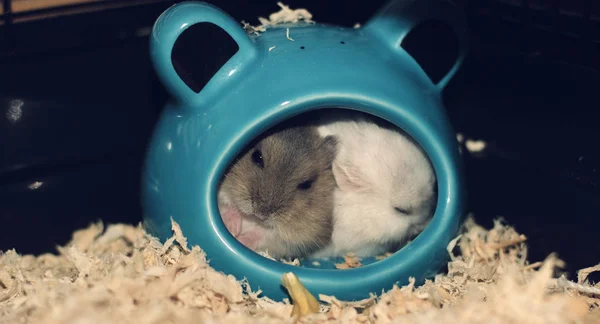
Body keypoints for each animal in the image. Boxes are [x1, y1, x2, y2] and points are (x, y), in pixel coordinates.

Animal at [217, 120, 340, 260]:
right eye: (257, 156)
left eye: (306, 184)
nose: (261, 214)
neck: (254, 220)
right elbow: (228, 205)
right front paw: (232, 229)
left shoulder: (298, 240)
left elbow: (263, 234)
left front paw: (239, 239)